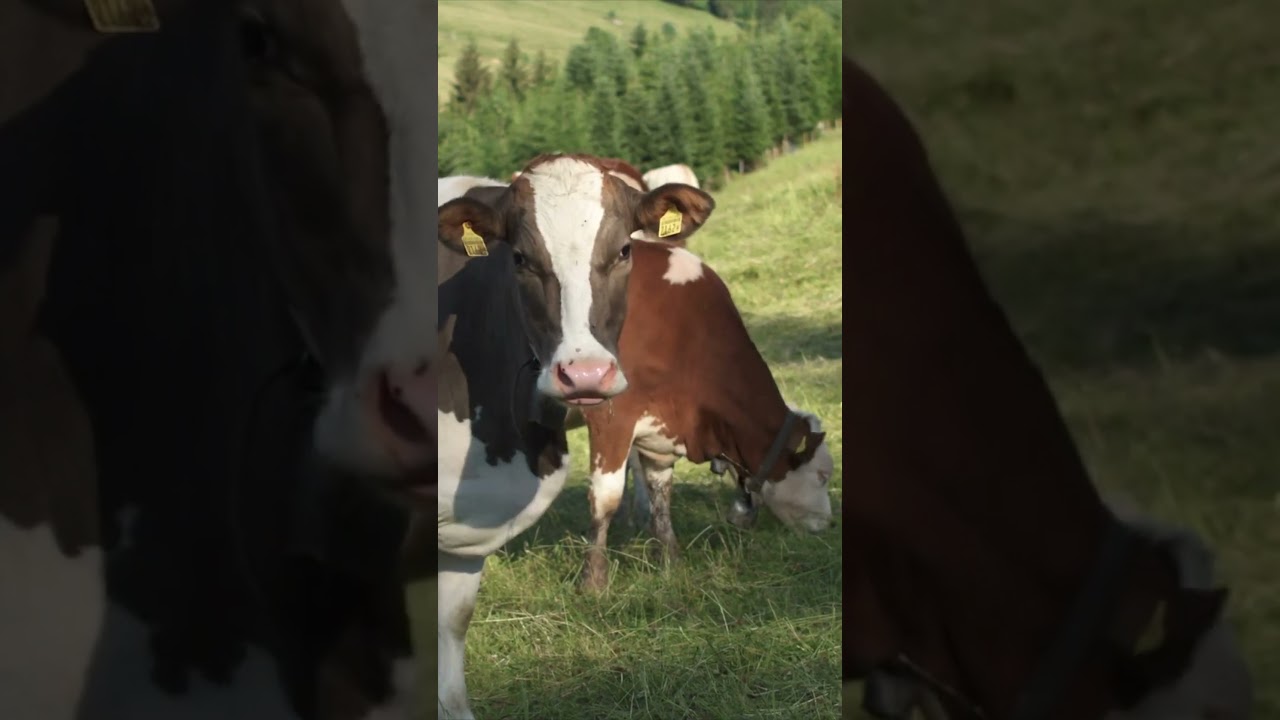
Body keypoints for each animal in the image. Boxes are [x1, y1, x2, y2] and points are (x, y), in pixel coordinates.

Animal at [562, 240, 835, 591]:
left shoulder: (658, 427)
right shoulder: (610, 416)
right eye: (822, 475)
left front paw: (671, 563)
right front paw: (593, 582)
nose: (829, 524)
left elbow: (661, 493)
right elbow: (605, 498)